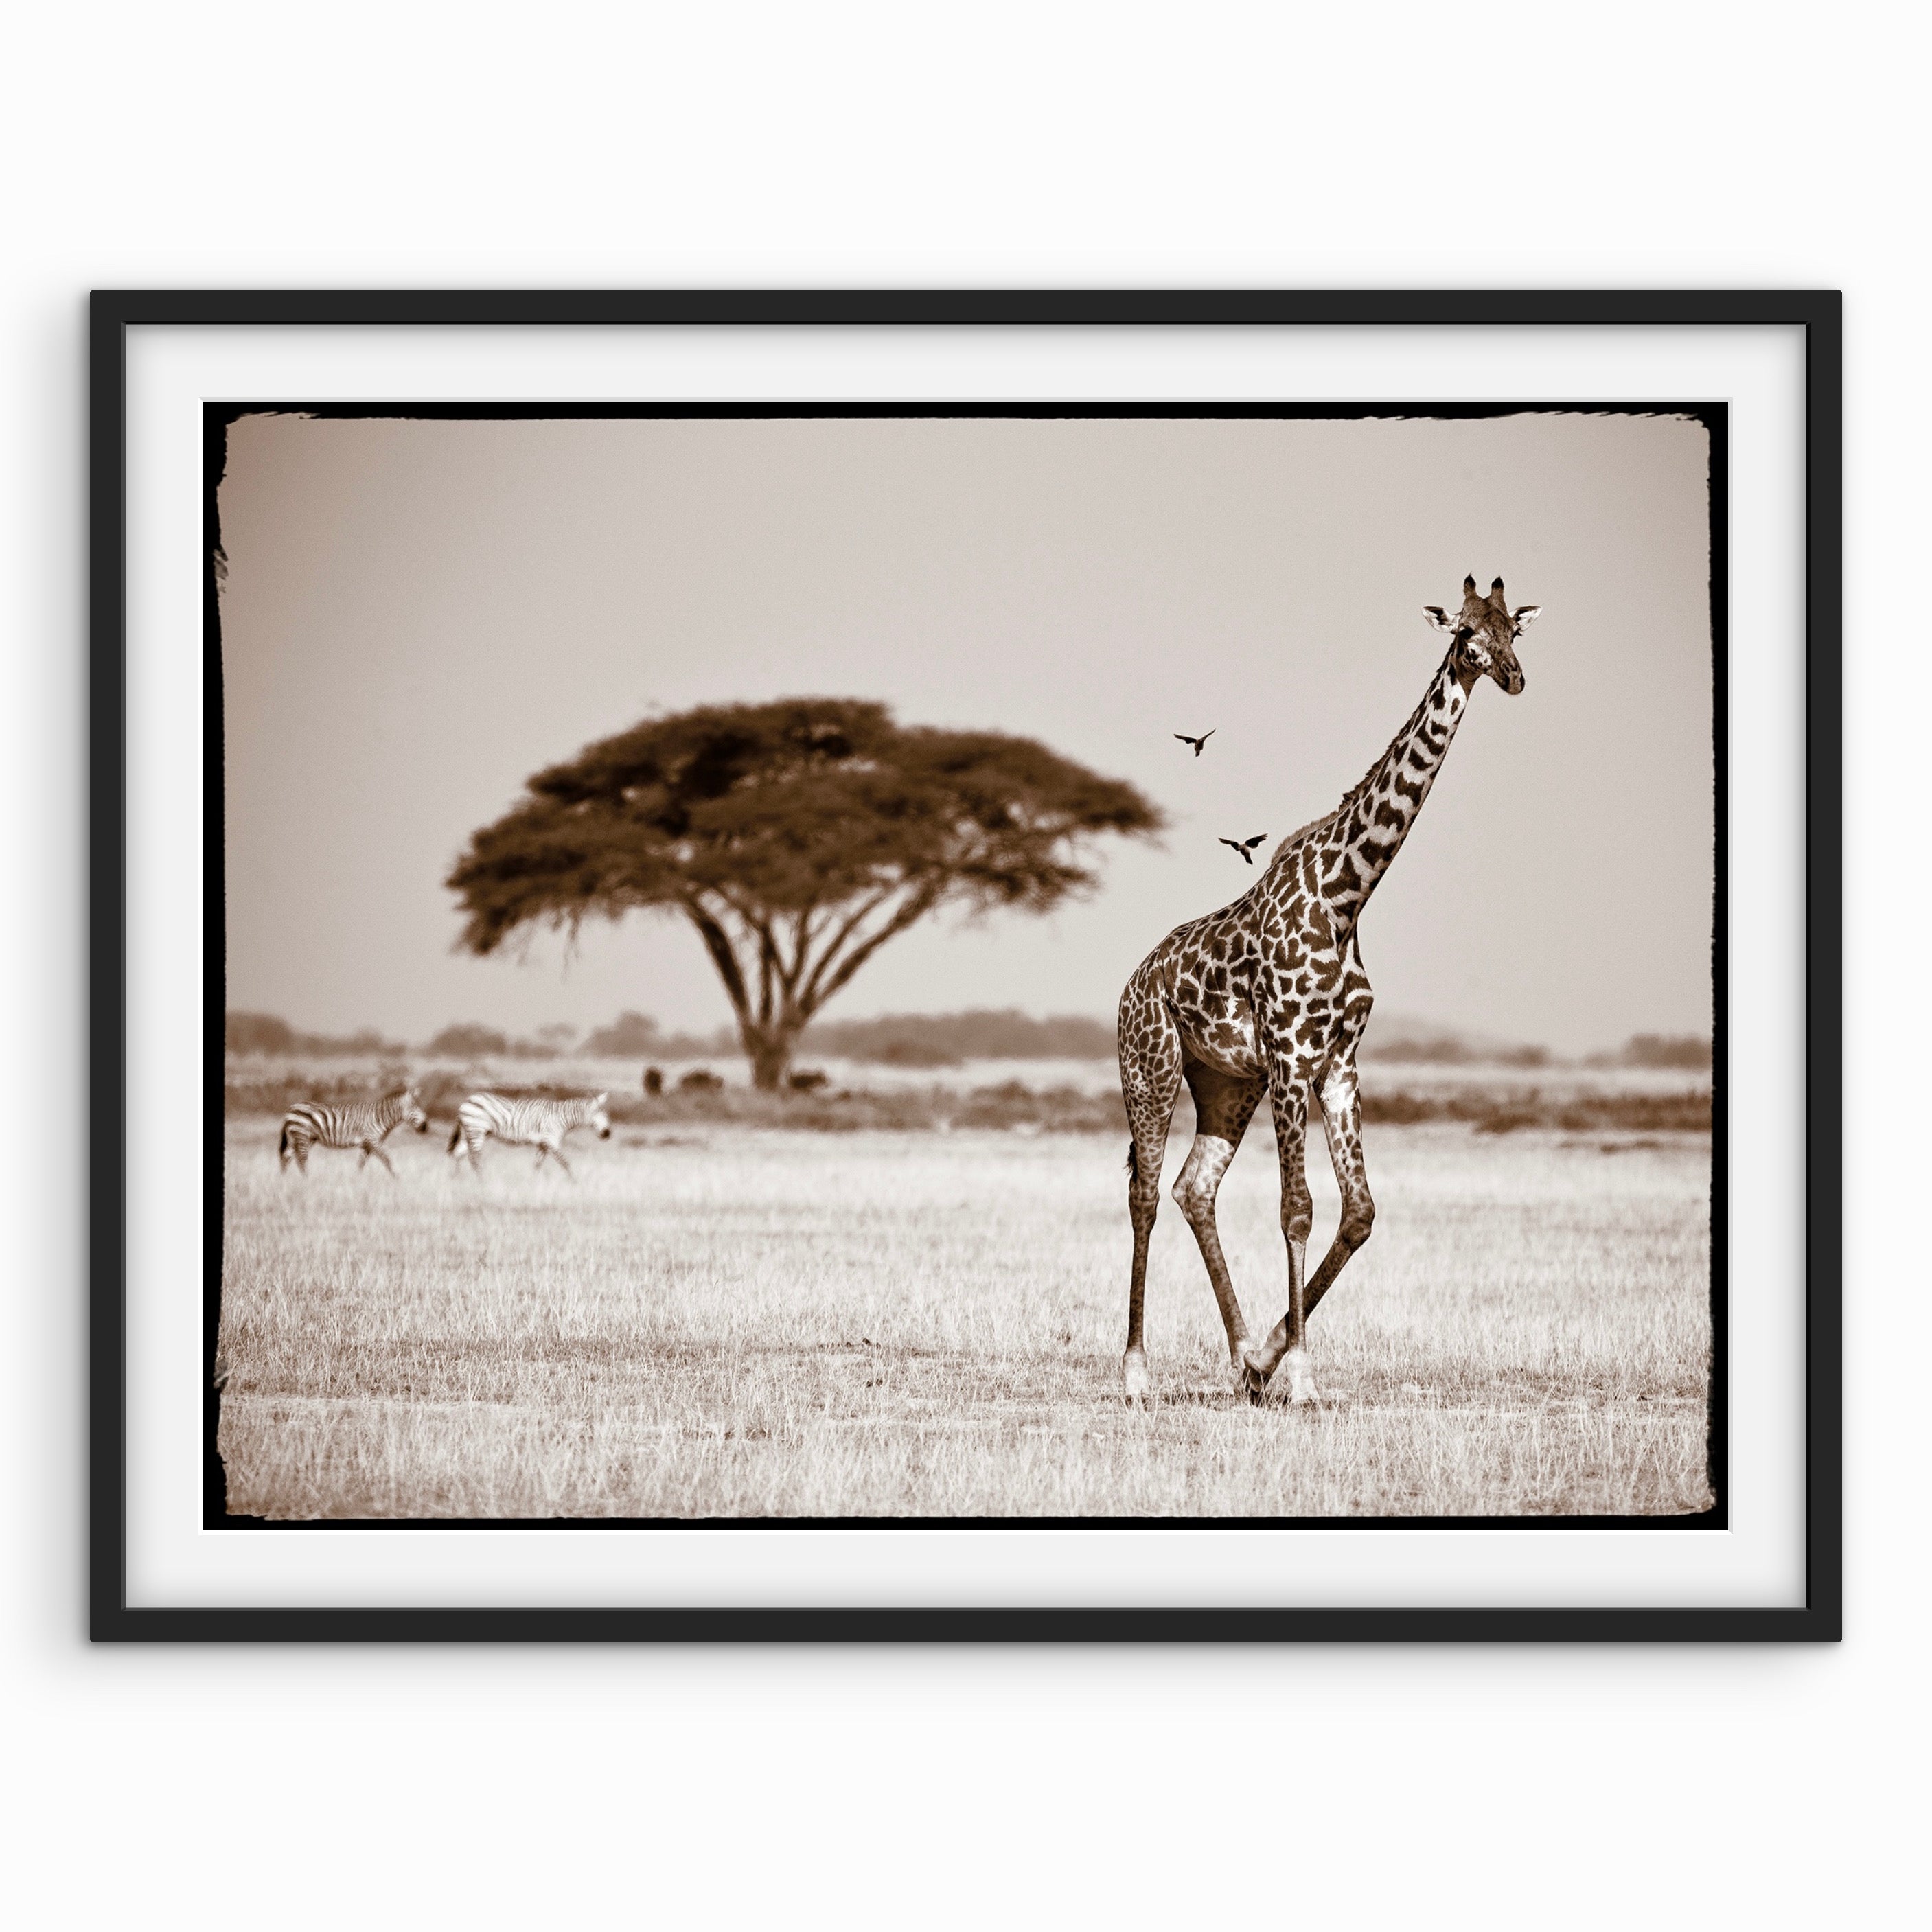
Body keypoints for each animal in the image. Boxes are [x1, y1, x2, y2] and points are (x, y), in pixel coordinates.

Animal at [1116, 576, 1541, 1405]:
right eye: (1465, 632)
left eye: (1515, 629)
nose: (1512, 677)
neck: (1349, 896)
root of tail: (1129, 985)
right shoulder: (1291, 1054)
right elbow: (1298, 1210)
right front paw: (1304, 1379)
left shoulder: (1339, 1062)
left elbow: (1361, 1213)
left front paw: (1270, 1358)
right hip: (1151, 1067)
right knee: (1146, 1195)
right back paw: (1136, 1373)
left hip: (1225, 1083)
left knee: (1193, 1189)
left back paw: (1242, 1357)